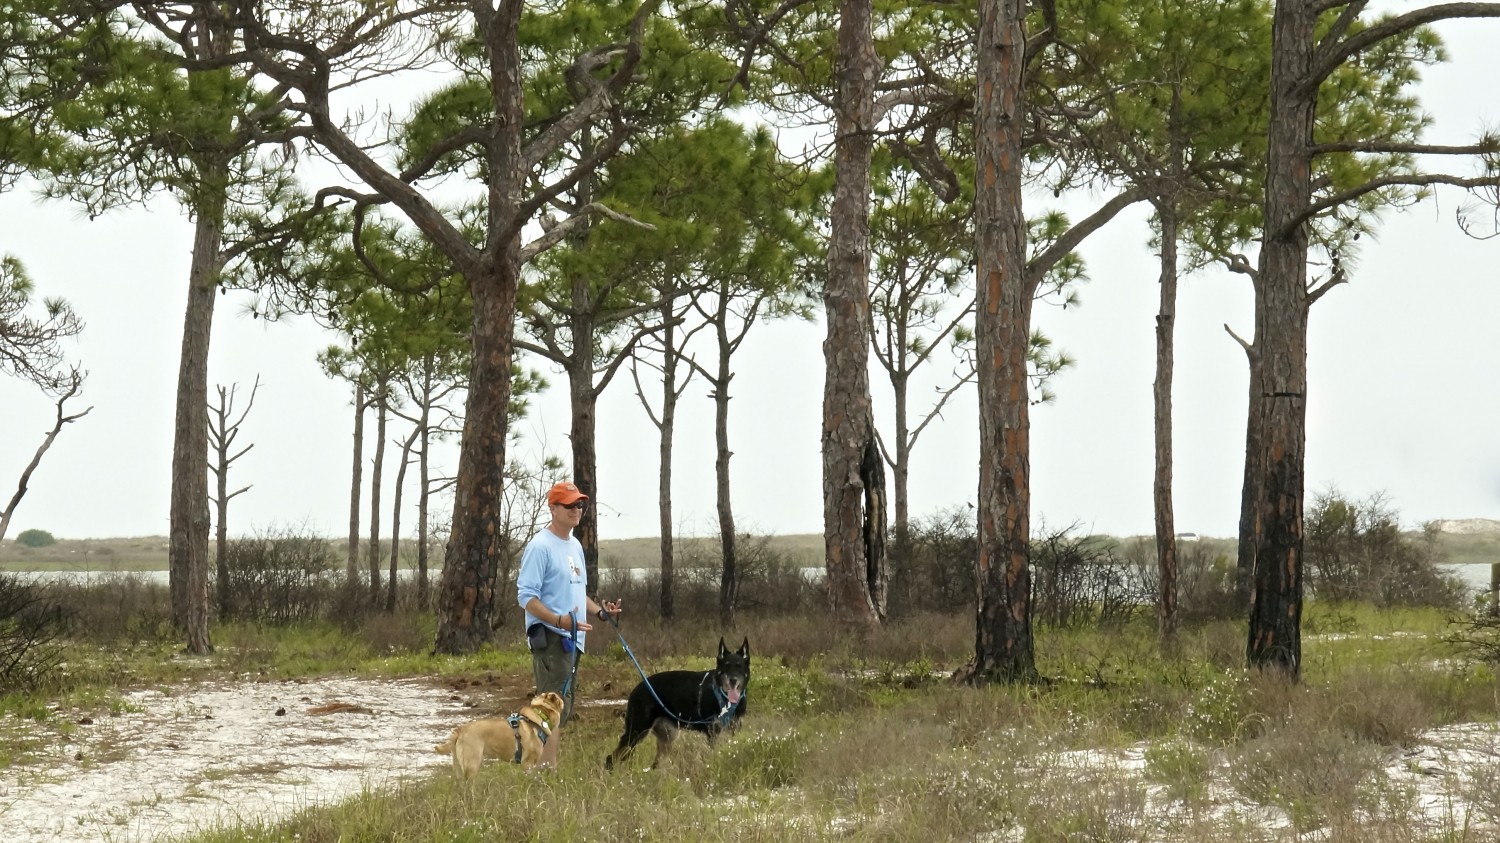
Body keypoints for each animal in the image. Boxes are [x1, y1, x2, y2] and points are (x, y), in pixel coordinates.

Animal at [438, 690, 570, 774]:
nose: (564, 696)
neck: (540, 715)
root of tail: (460, 729)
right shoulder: (527, 764)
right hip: (472, 764)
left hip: (459, 767)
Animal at [603, 636, 750, 768]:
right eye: (726, 666)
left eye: (739, 666)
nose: (733, 680)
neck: (723, 696)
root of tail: (637, 688)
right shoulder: (712, 733)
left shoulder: (733, 730)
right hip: (637, 731)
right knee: (611, 758)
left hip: (667, 739)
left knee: (655, 764)